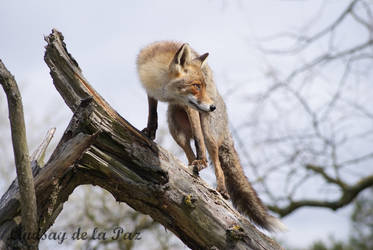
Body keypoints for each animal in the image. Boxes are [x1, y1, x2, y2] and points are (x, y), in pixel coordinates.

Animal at [137, 41, 284, 232]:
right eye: (196, 85)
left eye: (203, 85)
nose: (212, 107)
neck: (164, 90)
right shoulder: (151, 93)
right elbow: (152, 115)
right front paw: (150, 131)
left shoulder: (191, 107)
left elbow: (199, 142)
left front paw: (202, 161)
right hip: (175, 128)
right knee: (188, 153)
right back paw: (193, 168)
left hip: (208, 133)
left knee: (217, 163)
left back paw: (220, 187)